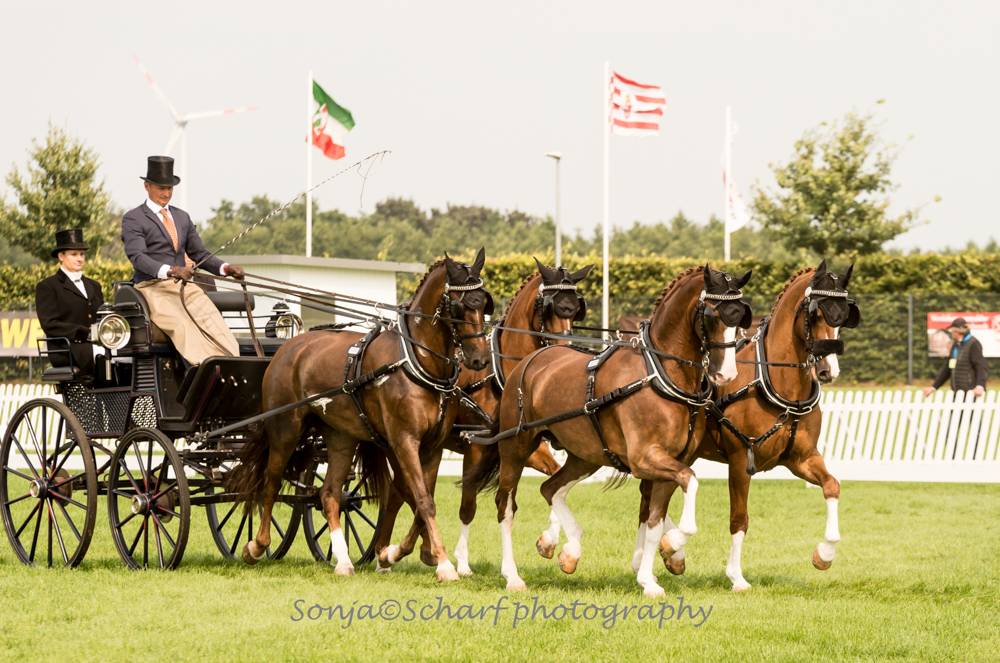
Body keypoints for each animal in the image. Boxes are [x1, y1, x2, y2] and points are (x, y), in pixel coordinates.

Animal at [229, 250, 493, 582]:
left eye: (484, 303)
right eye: (459, 306)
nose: (479, 359)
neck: (416, 361)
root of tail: (289, 346)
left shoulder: (433, 446)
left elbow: (423, 502)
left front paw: (394, 553)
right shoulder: (404, 442)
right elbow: (422, 499)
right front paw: (443, 564)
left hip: (341, 437)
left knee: (329, 493)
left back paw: (343, 560)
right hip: (285, 430)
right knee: (271, 483)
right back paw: (256, 546)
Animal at [374, 258, 594, 576]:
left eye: (576, 309)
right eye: (549, 306)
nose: (563, 352)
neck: (503, 375)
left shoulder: (524, 445)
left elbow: (553, 480)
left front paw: (549, 541)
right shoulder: (476, 447)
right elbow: (468, 505)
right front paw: (461, 563)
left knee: (398, 492)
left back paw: (392, 552)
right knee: (399, 492)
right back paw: (389, 553)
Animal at [487, 265, 753, 597]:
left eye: (740, 317)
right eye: (713, 315)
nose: (725, 374)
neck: (660, 374)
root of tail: (530, 361)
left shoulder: (671, 464)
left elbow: (654, 522)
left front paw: (649, 578)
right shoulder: (645, 459)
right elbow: (690, 486)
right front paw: (672, 546)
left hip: (585, 456)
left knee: (550, 488)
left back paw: (570, 551)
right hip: (515, 448)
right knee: (506, 506)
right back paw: (512, 575)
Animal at [640, 260, 858, 591]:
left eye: (844, 316)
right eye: (816, 313)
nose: (827, 370)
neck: (777, 383)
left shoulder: (802, 458)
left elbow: (832, 485)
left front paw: (824, 553)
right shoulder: (741, 459)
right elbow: (739, 518)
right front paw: (735, 576)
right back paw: (667, 553)